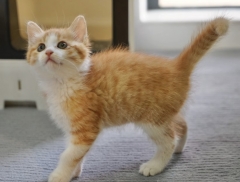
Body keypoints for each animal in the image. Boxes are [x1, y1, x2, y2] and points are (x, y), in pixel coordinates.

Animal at [25, 16, 229, 182]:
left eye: (62, 45)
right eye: (41, 47)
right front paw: (74, 172)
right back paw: (180, 146)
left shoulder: (86, 128)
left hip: (153, 119)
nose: (48, 53)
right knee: (182, 124)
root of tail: (175, 66)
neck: (62, 83)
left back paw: (155, 165)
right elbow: (75, 153)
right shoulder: (72, 128)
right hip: (166, 112)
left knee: (168, 141)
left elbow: (68, 155)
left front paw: (60, 175)